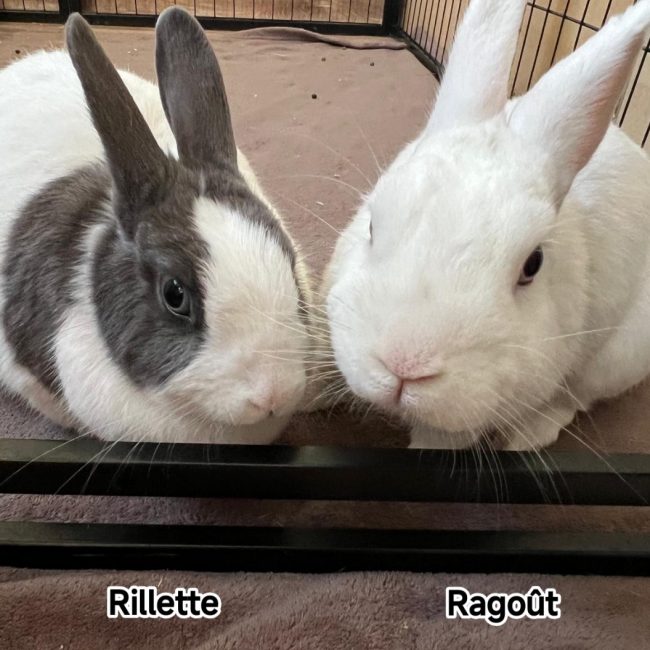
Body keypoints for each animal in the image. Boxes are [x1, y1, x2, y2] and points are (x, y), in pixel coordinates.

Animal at [323, 0, 650, 451]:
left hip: (619, 357)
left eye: (533, 265)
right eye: (372, 226)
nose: (404, 365)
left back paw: (528, 437)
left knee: (575, 398)